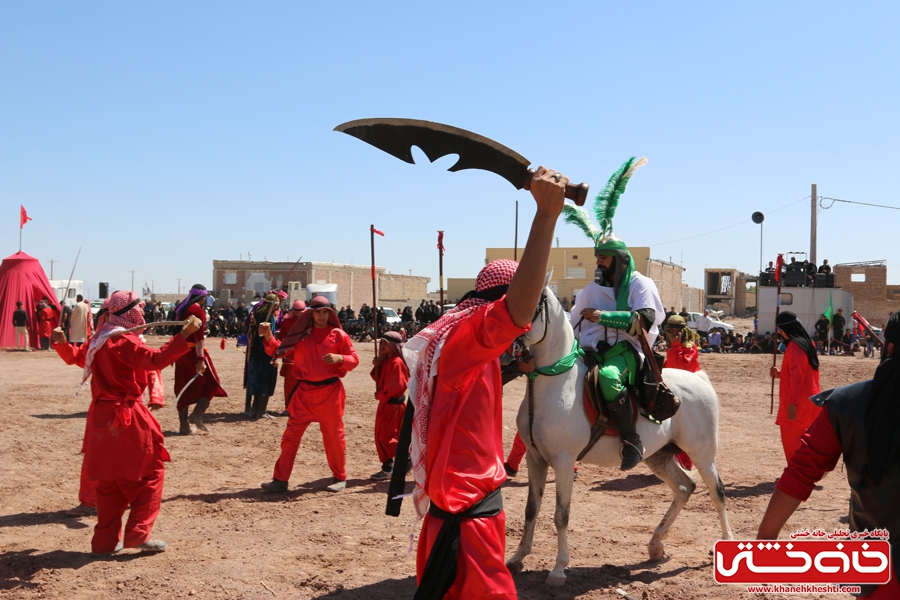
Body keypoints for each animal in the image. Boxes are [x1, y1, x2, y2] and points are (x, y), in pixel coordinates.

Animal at [506, 288, 732, 584]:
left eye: (530, 303)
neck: (555, 381)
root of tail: (699, 379)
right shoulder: (535, 459)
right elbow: (531, 509)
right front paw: (518, 557)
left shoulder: (563, 462)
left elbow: (561, 514)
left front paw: (558, 569)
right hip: (658, 457)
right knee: (685, 488)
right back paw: (656, 544)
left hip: (702, 455)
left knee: (717, 492)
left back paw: (724, 543)